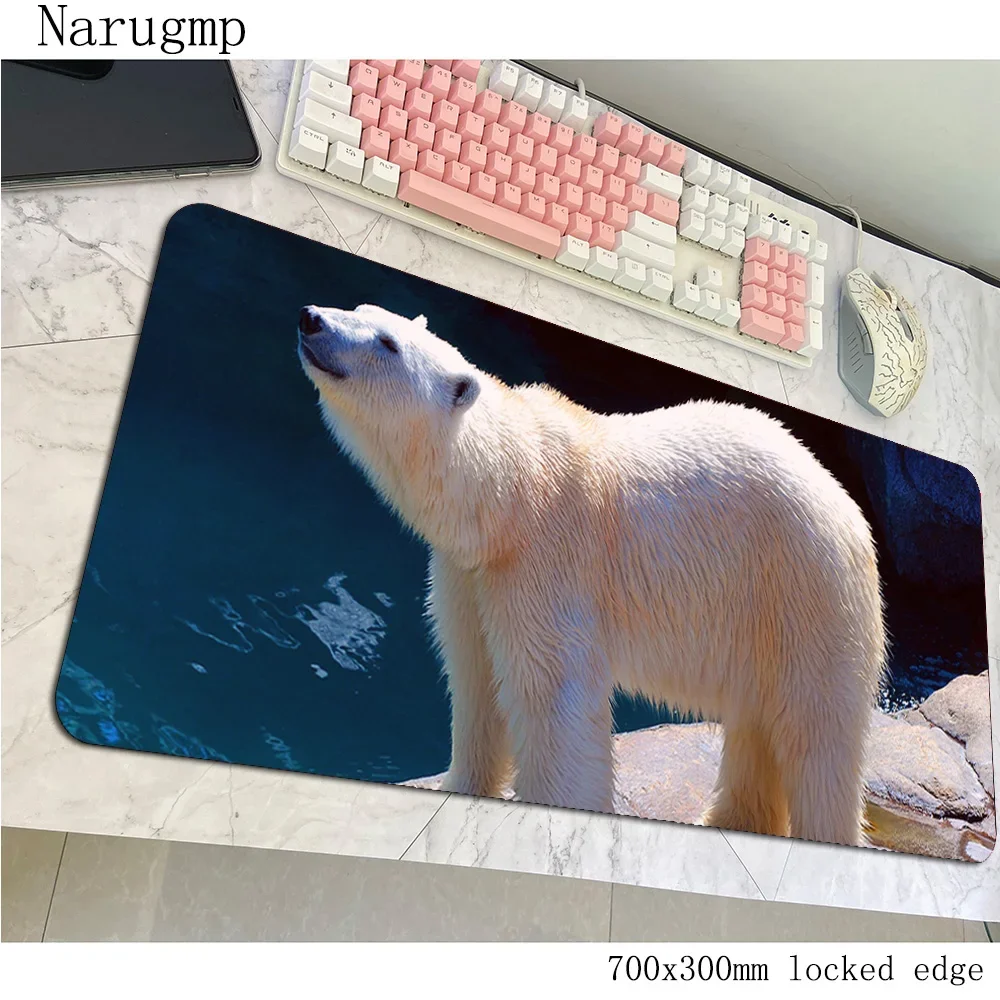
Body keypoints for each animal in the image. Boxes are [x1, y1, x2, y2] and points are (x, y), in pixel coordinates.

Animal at [297, 303, 887, 847]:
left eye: (387, 343)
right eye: (361, 309)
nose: (311, 319)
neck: (508, 493)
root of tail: (846, 506)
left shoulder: (547, 565)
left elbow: (553, 703)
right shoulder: (468, 575)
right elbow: (475, 679)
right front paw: (464, 787)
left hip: (801, 588)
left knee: (817, 737)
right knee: (758, 725)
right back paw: (729, 820)